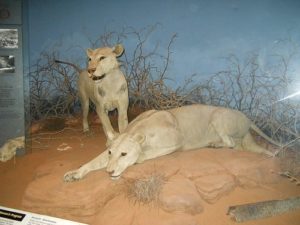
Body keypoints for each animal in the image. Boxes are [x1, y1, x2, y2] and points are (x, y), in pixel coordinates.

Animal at [63, 104, 282, 182]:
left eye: (124, 154)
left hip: (218, 116)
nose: (109, 172)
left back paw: (214, 144)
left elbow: (148, 153)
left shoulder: (177, 141)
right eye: (111, 153)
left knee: (228, 142)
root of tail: (248, 118)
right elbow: (92, 162)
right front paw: (74, 173)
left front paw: (138, 158)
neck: (138, 130)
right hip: (245, 142)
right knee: (250, 148)